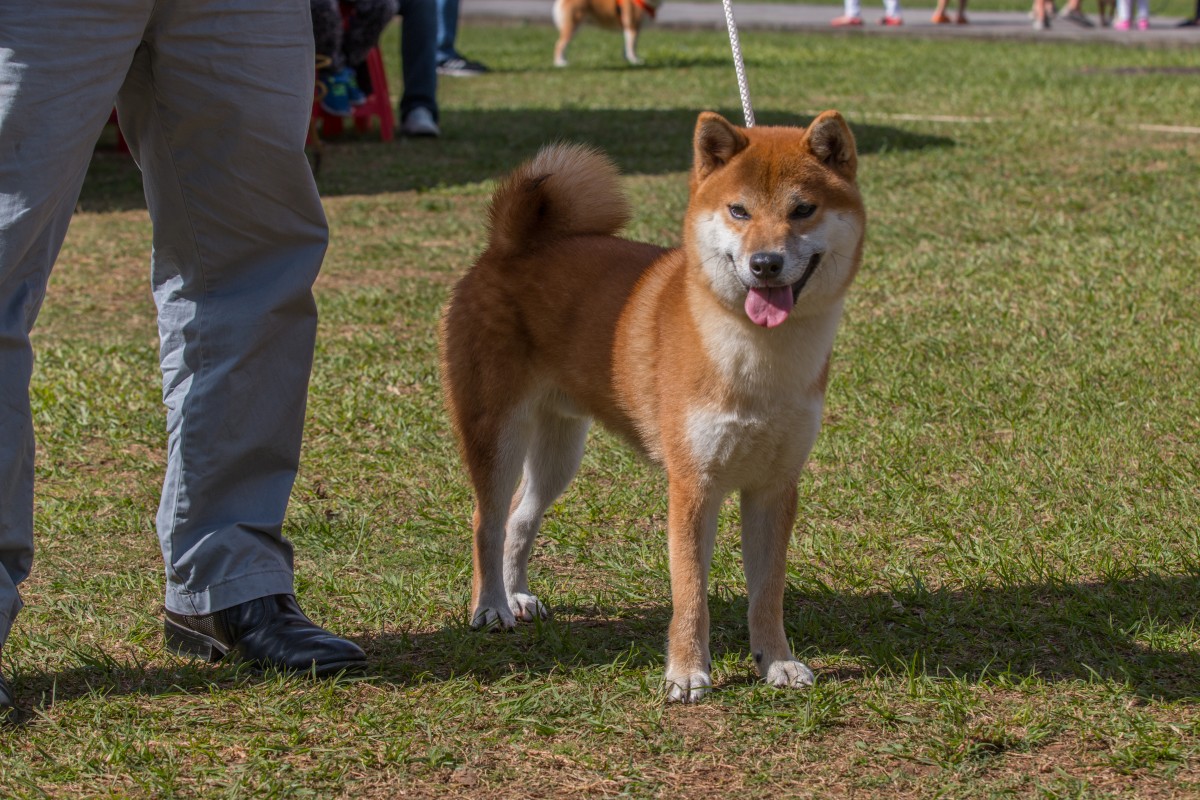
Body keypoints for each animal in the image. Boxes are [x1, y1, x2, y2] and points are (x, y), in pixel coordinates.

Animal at [439, 110, 864, 700]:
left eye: (803, 210)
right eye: (739, 210)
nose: (765, 264)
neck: (757, 359)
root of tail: (510, 244)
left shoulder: (774, 486)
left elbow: (768, 592)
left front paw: (776, 661)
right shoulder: (693, 484)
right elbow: (690, 592)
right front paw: (686, 672)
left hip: (559, 452)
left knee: (521, 517)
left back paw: (517, 596)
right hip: (497, 433)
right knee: (488, 518)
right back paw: (491, 607)